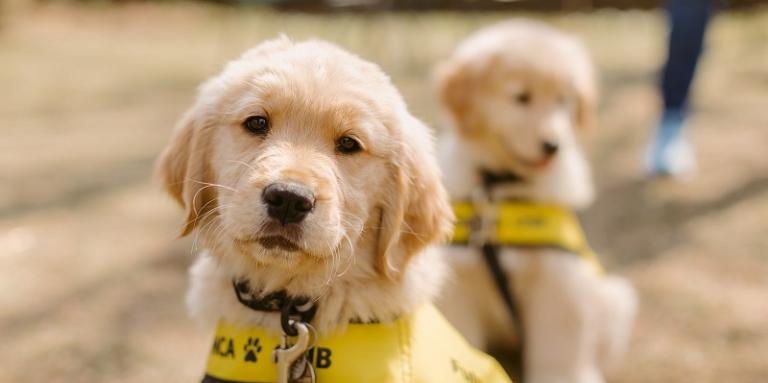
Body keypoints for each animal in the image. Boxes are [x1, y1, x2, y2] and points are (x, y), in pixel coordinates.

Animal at [436, 20, 640, 383]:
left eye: (564, 99)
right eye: (521, 97)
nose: (553, 145)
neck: (505, 189)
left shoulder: (558, 280)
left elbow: (558, 345)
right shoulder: (460, 276)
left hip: (613, 297)